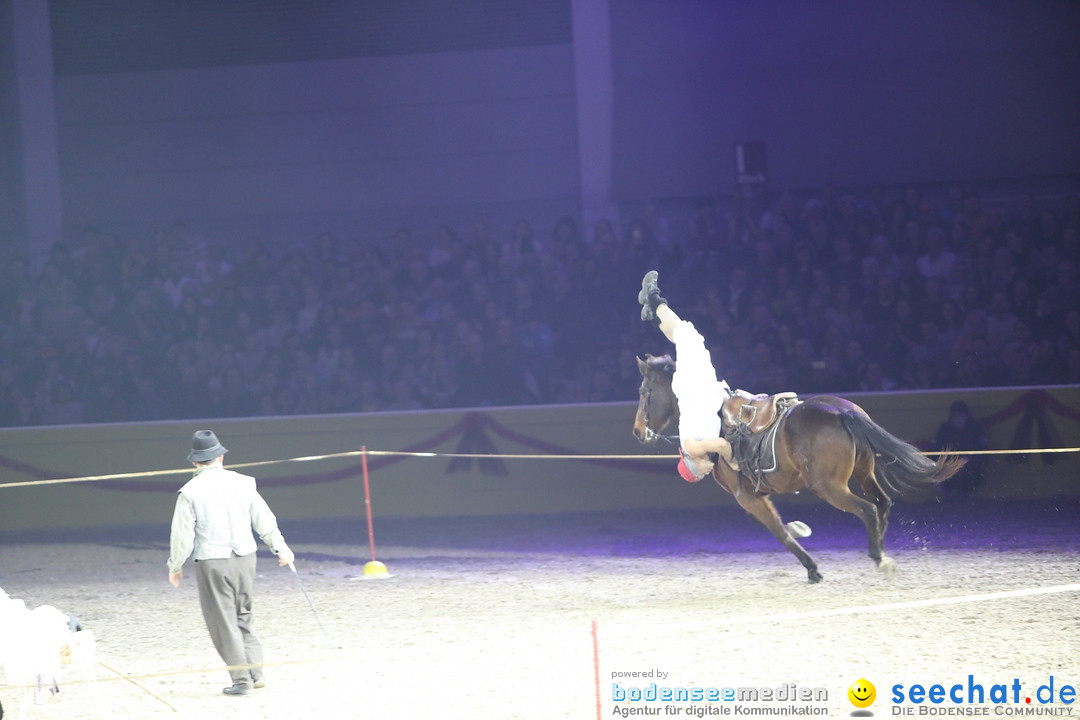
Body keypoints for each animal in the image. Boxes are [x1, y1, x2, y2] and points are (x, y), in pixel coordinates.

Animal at [630, 354, 963, 587]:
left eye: (644, 391)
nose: (637, 431)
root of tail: (840, 411)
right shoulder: (756, 494)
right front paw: (801, 535)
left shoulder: (747, 496)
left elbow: (778, 531)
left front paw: (812, 568)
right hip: (863, 472)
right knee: (882, 504)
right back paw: (880, 549)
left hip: (829, 487)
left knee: (868, 509)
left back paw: (879, 557)